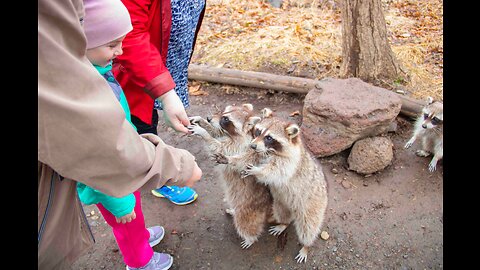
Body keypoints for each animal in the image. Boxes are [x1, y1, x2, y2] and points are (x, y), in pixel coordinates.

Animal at [189, 104, 276, 249]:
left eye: (226, 119)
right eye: (223, 111)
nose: (209, 118)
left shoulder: (242, 148)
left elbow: (219, 148)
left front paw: (204, 133)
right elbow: (217, 133)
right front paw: (203, 122)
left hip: (248, 208)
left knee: (245, 223)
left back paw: (250, 238)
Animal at [216, 116, 328, 264]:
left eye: (269, 138)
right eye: (258, 131)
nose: (252, 145)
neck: (271, 151)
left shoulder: (290, 162)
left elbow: (276, 171)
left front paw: (257, 171)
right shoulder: (258, 153)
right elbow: (246, 158)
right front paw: (231, 159)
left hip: (312, 204)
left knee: (308, 227)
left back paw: (306, 246)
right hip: (280, 202)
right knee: (282, 213)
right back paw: (284, 224)